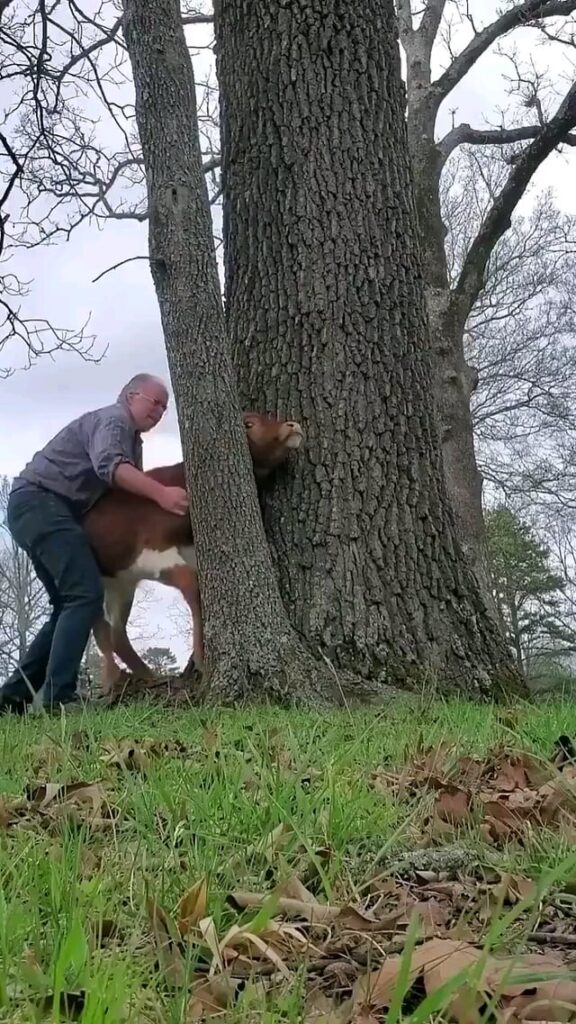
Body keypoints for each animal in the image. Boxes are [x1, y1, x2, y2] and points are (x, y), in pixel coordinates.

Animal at [83, 411, 305, 692]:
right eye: (248, 423)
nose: (292, 425)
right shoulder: (153, 554)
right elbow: (193, 588)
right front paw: (201, 660)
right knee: (100, 628)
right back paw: (112, 681)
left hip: (121, 584)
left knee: (116, 631)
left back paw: (147, 676)